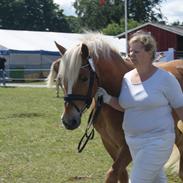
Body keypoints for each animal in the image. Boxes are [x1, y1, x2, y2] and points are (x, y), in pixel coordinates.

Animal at [47, 33, 183, 183]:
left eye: (84, 78)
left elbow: (112, 174)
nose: (68, 121)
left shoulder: (127, 147)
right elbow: (121, 174)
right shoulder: (110, 143)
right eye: (61, 79)